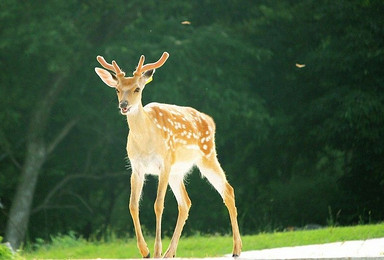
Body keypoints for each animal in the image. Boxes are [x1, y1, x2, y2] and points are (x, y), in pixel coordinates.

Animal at [94, 51, 242, 256]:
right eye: (117, 89)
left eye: (137, 89)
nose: (123, 105)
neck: (146, 140)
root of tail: (210, 120)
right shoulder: (136, 167)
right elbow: (133, 204)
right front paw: (145, 251)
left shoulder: (163, 163)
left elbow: (158, 204)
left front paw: (155, 251)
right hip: (177, 171)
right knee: (186, 202)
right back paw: (170, 252)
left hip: (207, 155)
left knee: (227, 190)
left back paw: (236, 249)